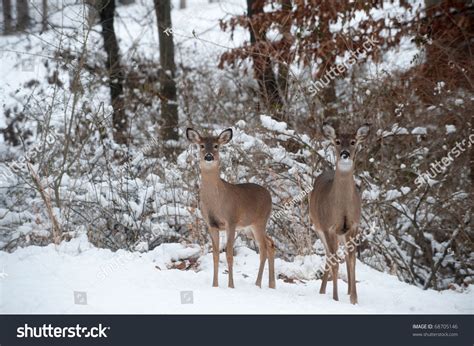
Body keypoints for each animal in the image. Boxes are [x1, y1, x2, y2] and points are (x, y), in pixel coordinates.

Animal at [184, 127, 274, 290]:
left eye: (216, 146)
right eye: (201, 146)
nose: (208, 156)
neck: (216, 201)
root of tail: (269, 195)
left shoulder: (230, 221)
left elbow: (229, 255)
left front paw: (231, 286)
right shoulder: (211, 224)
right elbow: (215, 255)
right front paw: (214, 285)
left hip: (260, 222)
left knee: (263, 249)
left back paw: (257, 284)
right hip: (248, 228)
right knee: (270, 243)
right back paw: (271, 285)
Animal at [310, 123, 372, 304]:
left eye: (353, 141)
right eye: (337, 141)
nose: (345, 154)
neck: (342, 207)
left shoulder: (353, 226)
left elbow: (352, 262)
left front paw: (354, 300)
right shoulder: (328, 227)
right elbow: (335, 262)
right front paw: (335, 298)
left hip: (342, 235)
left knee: (343, 257)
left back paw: (346, 291)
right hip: (318, 228)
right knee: (329, 257)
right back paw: (323, 291)